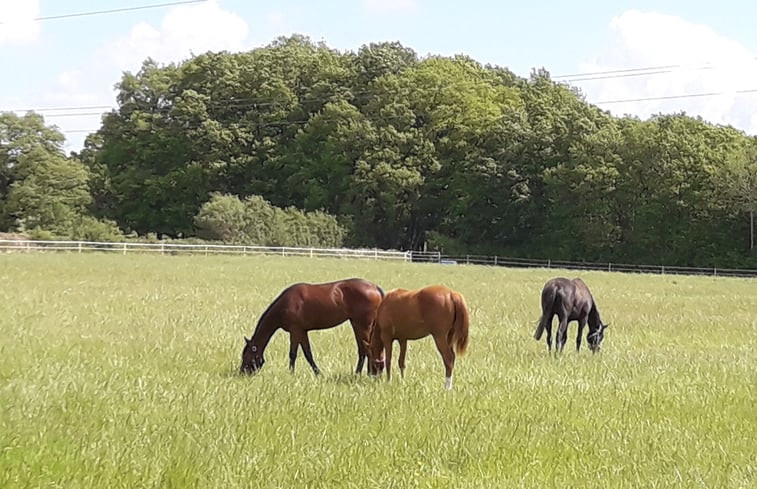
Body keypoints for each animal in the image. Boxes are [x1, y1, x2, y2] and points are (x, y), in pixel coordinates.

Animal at [239, 278, 384, 374]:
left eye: (246, 356)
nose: (241, 373)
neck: (285, 305)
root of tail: (375, 287)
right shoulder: (301, 332)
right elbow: (305, 353)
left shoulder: (296, 330)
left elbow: (295, 354)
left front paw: (294, 373)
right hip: (358, 324)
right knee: (364, 350)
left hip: (363, 326)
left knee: (366, 349)